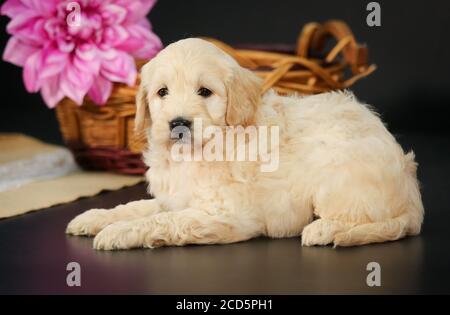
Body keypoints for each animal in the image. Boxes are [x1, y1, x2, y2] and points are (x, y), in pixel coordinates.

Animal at [65, 37, 424, 249]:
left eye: (205, 92)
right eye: (162, 92)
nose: (178, 123)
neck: (200, 151)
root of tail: (411, 192)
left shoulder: (226, 215)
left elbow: (163, 220)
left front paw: (116, 233)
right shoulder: (176, 198)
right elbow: (137, 207)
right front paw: (95, 218)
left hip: (337, 173)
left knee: (370, 221)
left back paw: (326, 230)